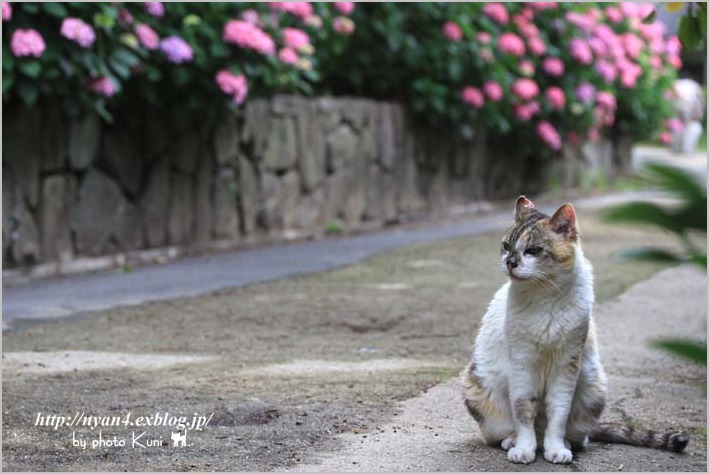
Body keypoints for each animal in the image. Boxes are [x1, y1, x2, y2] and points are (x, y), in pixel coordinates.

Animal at [462, 195, 688, 462]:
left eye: (533, 250)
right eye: (507, 245)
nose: (510, 263)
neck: (545, 297)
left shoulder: (567, 364)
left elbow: (558, 413)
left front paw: (557, 449)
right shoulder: (522, 363)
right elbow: (524, 411)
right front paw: (524, 449)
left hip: (593, 389)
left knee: (579, 436)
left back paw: (563, 444)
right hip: (480, 386)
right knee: (504, 432)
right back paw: (513, 441)